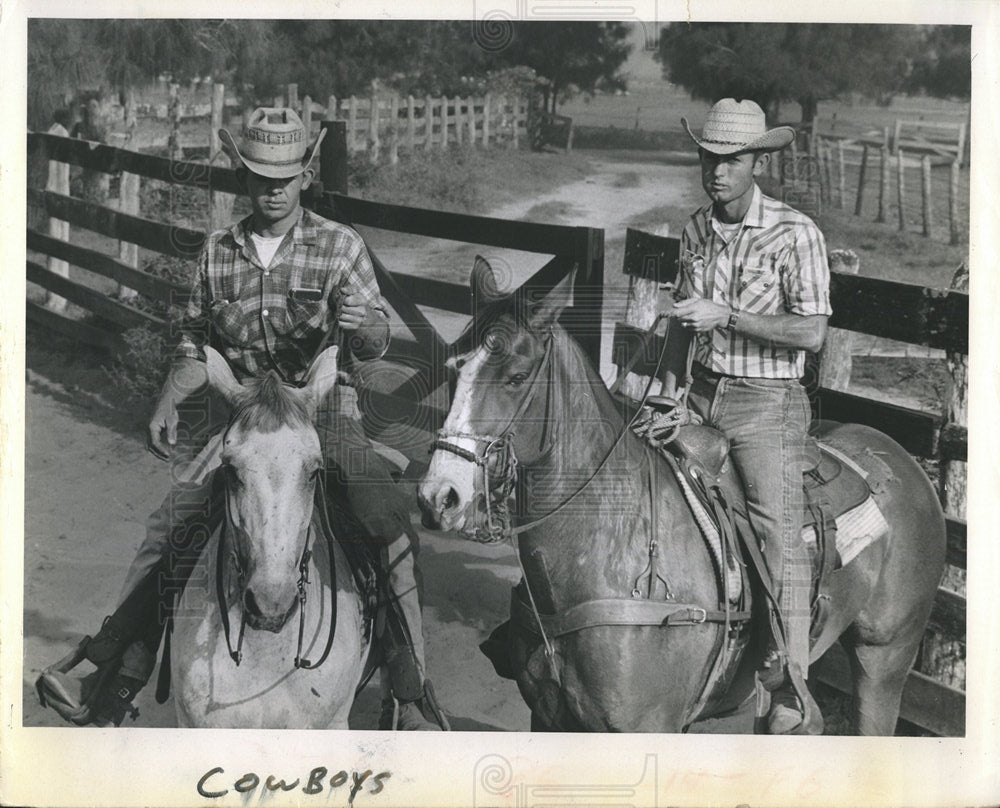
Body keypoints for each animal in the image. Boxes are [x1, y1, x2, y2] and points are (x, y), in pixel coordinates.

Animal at [418, 258, 948, 732]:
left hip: (885, 660)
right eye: (453, 368)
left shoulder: (648, 726)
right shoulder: (548, 720)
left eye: (516, 376)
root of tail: (905, 463)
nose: (440, 497)